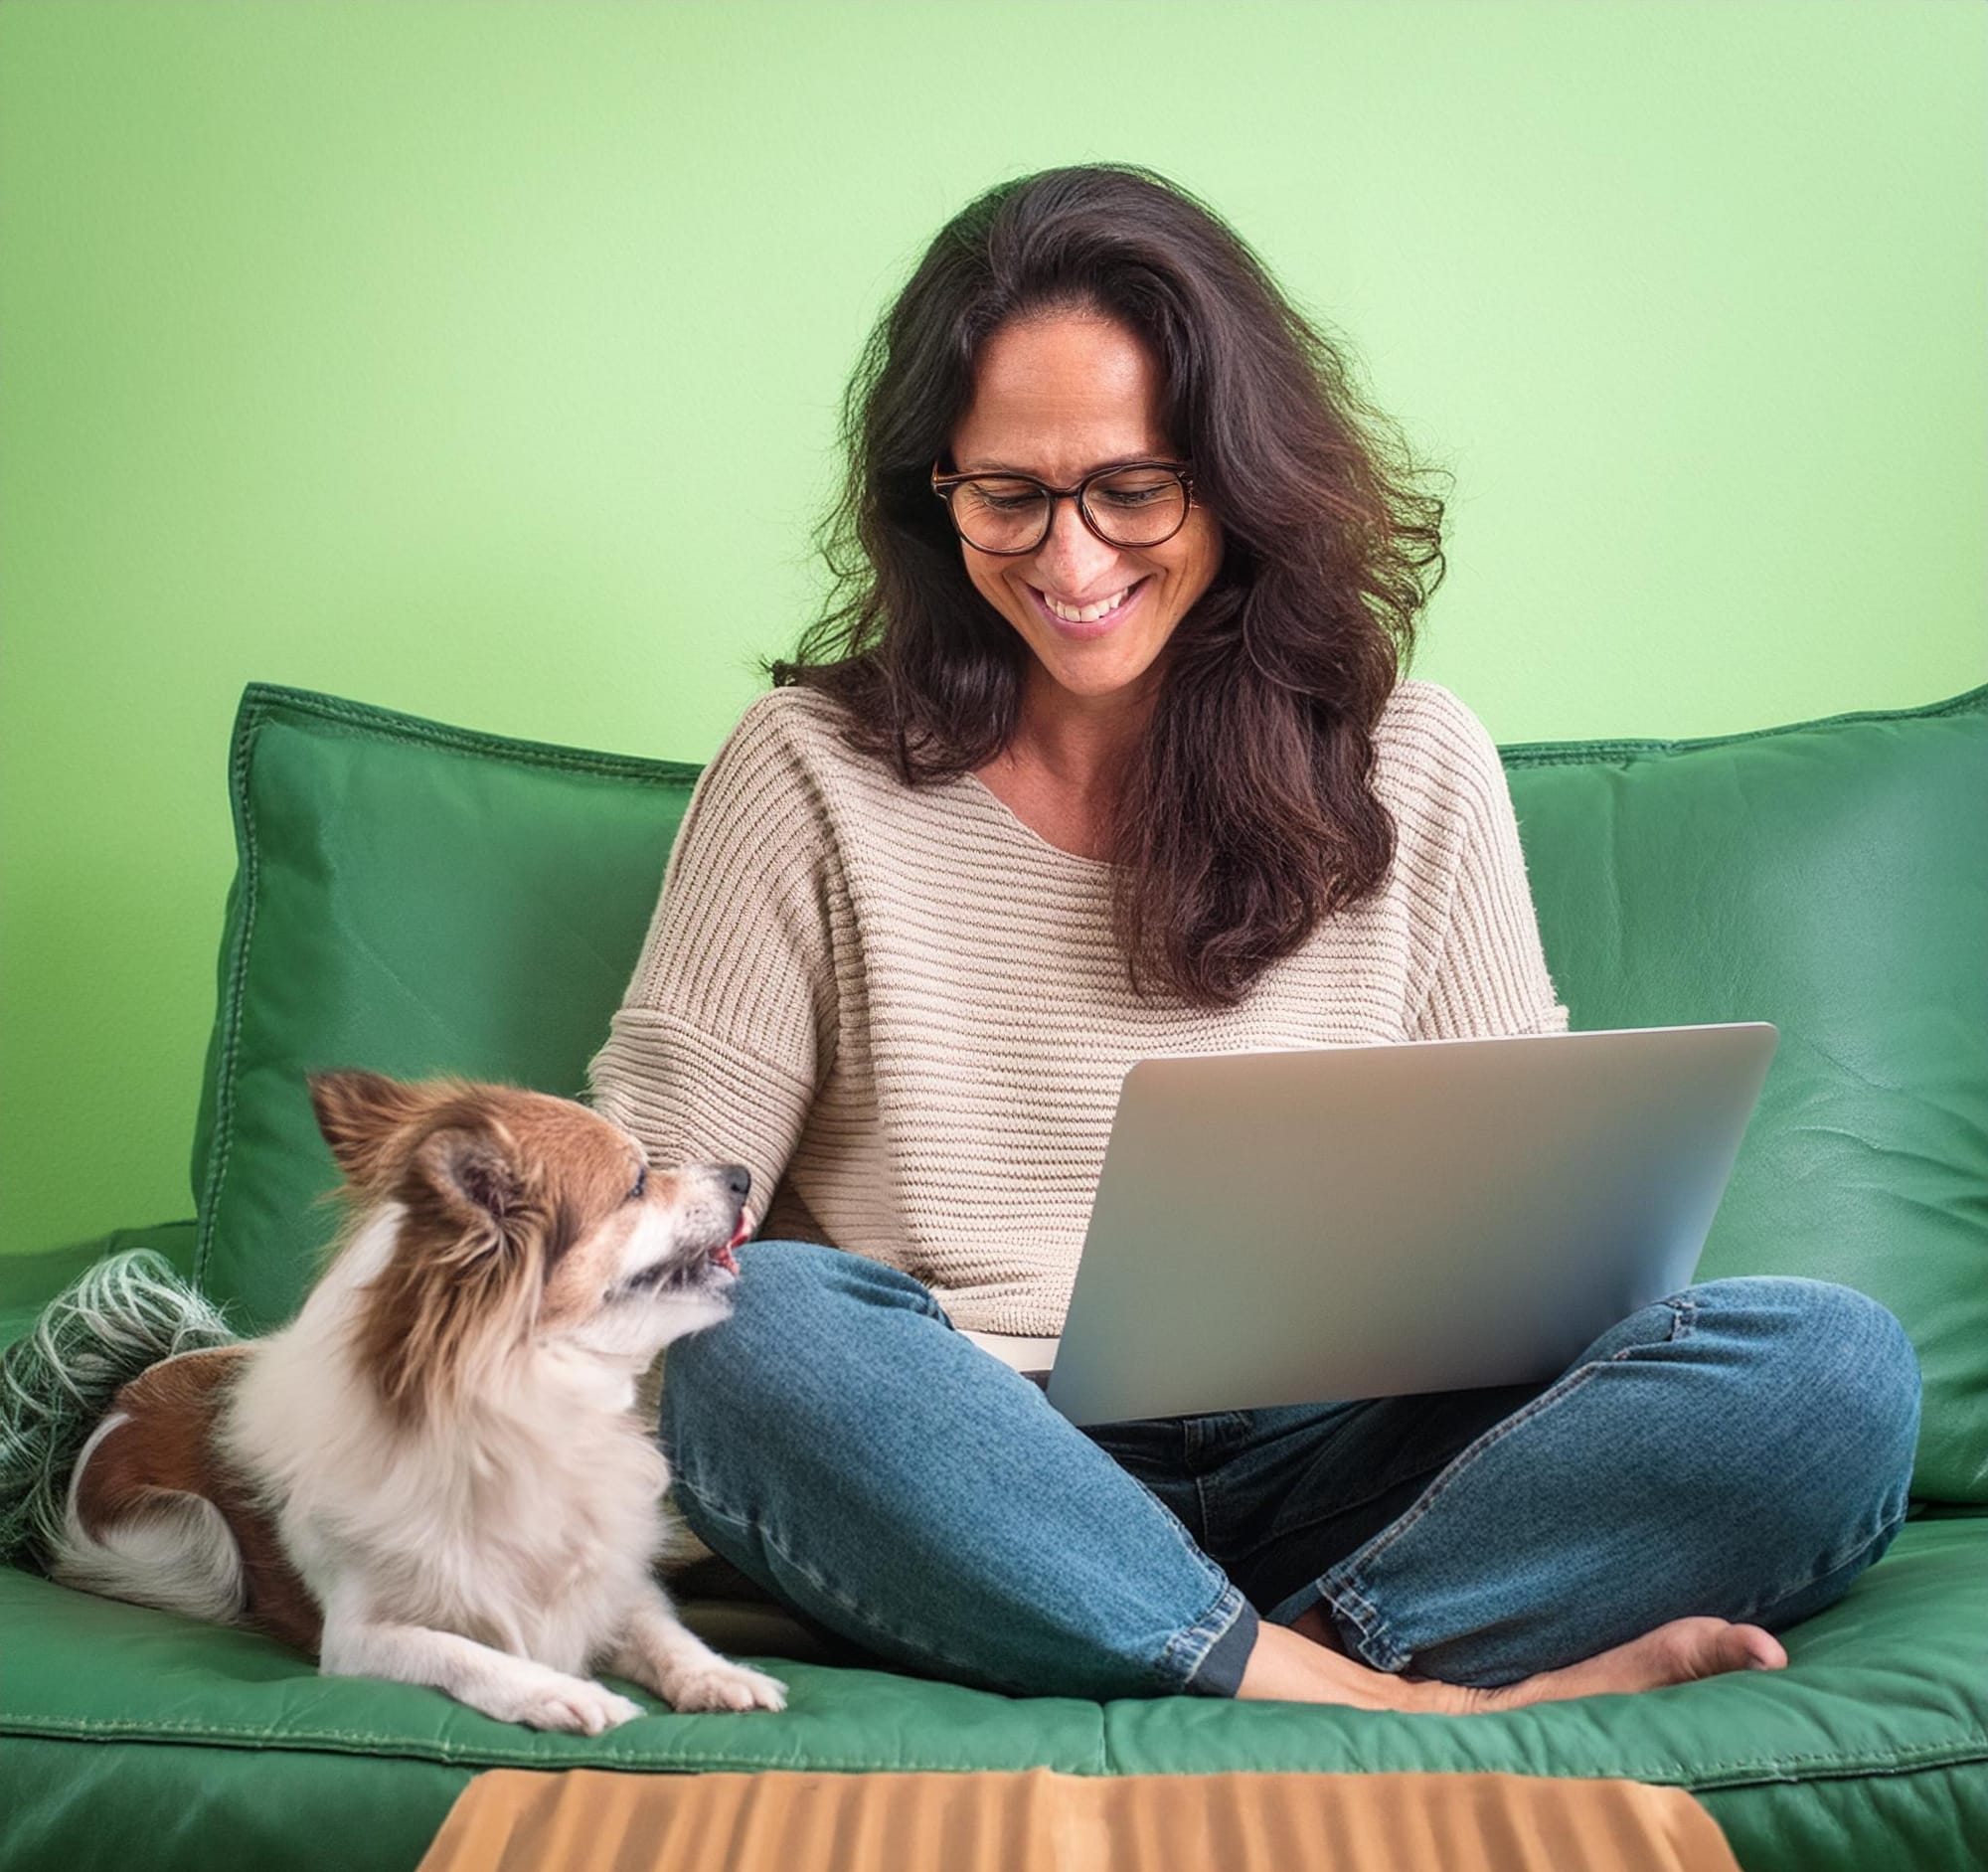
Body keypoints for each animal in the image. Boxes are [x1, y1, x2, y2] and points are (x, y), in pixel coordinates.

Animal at [43, 1081, 779, 1733]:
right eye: (636, 1184)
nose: (741, 1176)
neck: (533, 1408)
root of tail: (131, 1389)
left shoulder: (614, 1585)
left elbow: (663, 1630)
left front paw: (719, 1674)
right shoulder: (359, 1638)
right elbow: (464, 1652)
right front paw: (560, 1691)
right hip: (195, 1545)